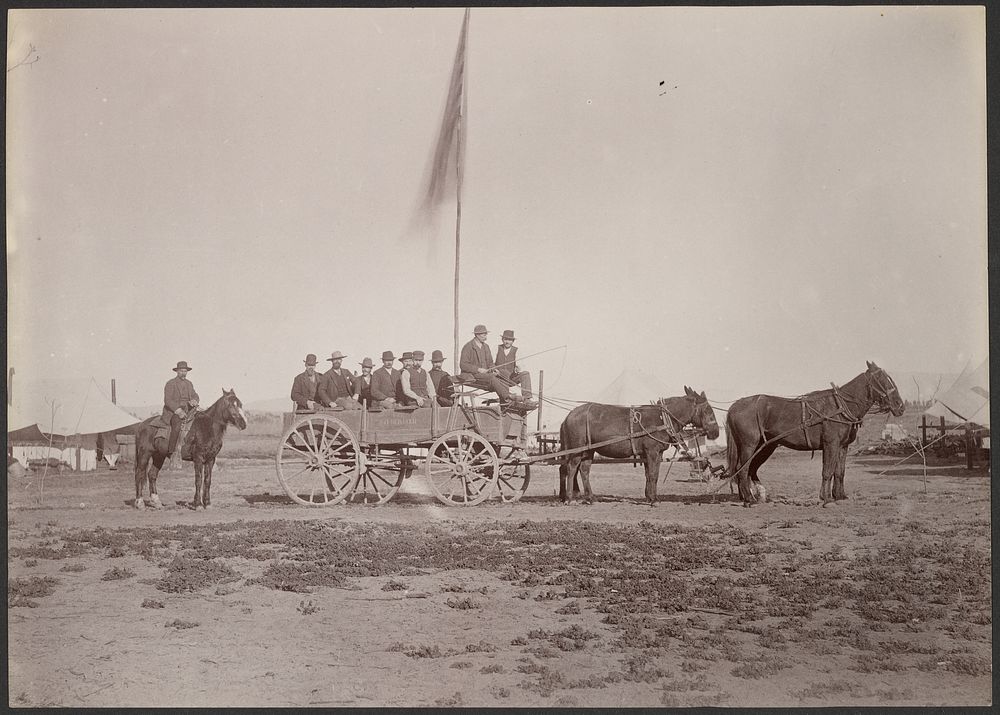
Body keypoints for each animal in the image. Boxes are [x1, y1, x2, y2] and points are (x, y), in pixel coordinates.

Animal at [556, 386, 720, 504]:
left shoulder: (653, 453)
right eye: (708, 410)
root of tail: (568, 416)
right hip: (576, 449)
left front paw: (650, 496)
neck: (662, 419)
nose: (716, 432)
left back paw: (590, 498)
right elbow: (653, 474)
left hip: (588, 450)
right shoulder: (652, 452)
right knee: (571, 469)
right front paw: (653, 500)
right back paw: (569, 498)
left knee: (583, 470)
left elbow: (651, 474)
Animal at [728, 360, 908, 506]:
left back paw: (751, 496)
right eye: (882, 379)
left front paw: (840, 496)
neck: (840, 406)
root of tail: (735, 405)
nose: (900, 405)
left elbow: (839, 471)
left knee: (749, 469)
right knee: (743, 469)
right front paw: (826, 498)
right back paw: (749, 499)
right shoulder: (831, 444)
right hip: (749, 445)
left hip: (765, 446)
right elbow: (827, 471)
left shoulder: (842, 446)